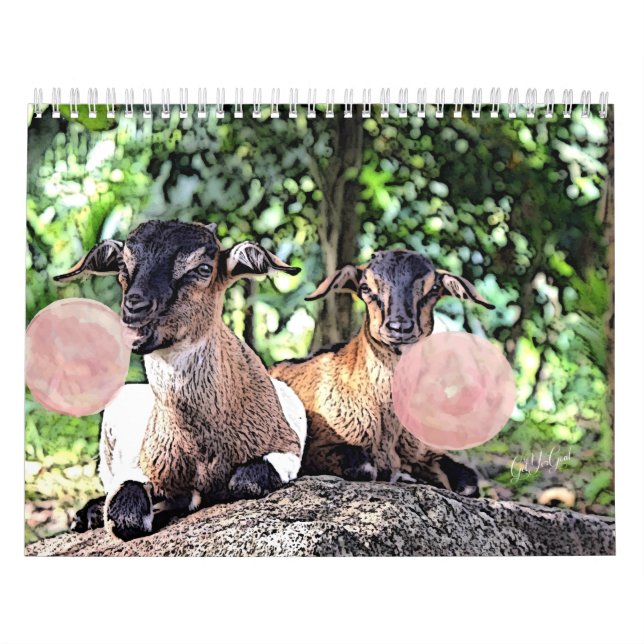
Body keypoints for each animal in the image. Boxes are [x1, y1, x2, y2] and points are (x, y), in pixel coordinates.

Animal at [57, 220, 306, 540]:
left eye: (203, 268)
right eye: (123, 266)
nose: (135, 308)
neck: (202, 451)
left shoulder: (287, 448)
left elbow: (246, 481)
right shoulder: (141, 466)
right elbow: (124, 514)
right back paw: (85, 515)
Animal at [270, 249, 494, 497]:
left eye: (434, 288)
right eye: (365, 287)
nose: (399, 326)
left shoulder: (426, 452)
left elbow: (469, 481)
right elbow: (364, 467)